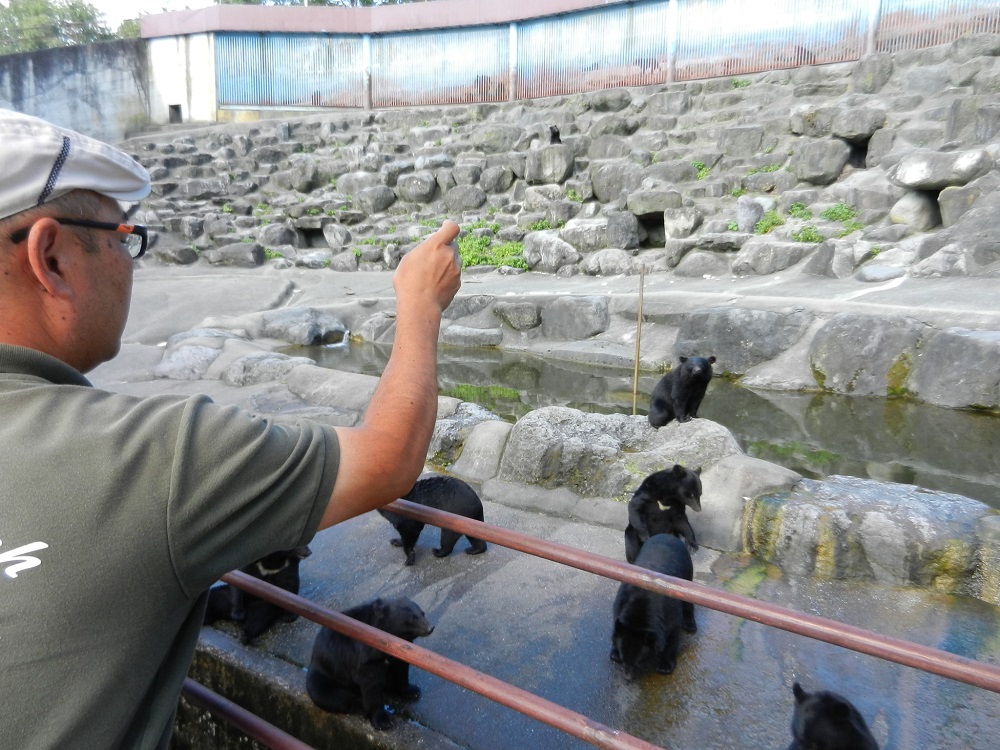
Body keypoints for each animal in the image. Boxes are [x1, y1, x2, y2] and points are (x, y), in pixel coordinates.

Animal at [308, 596, 434, 732]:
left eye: (422, 613)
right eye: (412, 619)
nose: (431, 628)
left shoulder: (398, 651)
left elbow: (400, 669)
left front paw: (412, 690)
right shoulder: (365, 656)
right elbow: (370, 684)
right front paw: (383, 721)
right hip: (324, 677)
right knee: (331, 696)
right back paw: (360, 705)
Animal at [608, 536, 696, 680]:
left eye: (638, 662)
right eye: (623, 659)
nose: (627, 678)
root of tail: (667, 535)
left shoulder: (669, 612)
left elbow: (672, 634)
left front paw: (665, 666)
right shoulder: (620, 603)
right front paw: (615, 653)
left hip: (687, 573)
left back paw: (690, 625)